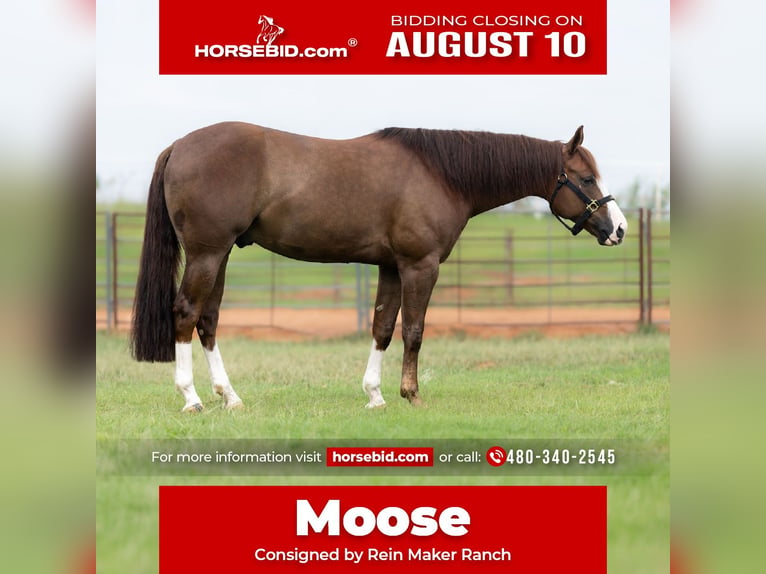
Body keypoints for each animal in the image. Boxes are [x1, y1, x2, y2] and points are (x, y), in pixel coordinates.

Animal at [130, 122, 627, 412]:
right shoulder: (420, 267)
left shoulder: (391, 266)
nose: (619, 229)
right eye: (586, 179)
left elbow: (383, 328)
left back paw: (230, 397)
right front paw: (411, 394)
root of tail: (179, 146)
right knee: (186, 314)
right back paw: (192, 398)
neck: (441, 174)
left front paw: (375, 395)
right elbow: (414, 331)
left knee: (208, 320)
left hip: (220, 254)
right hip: (208, 253)